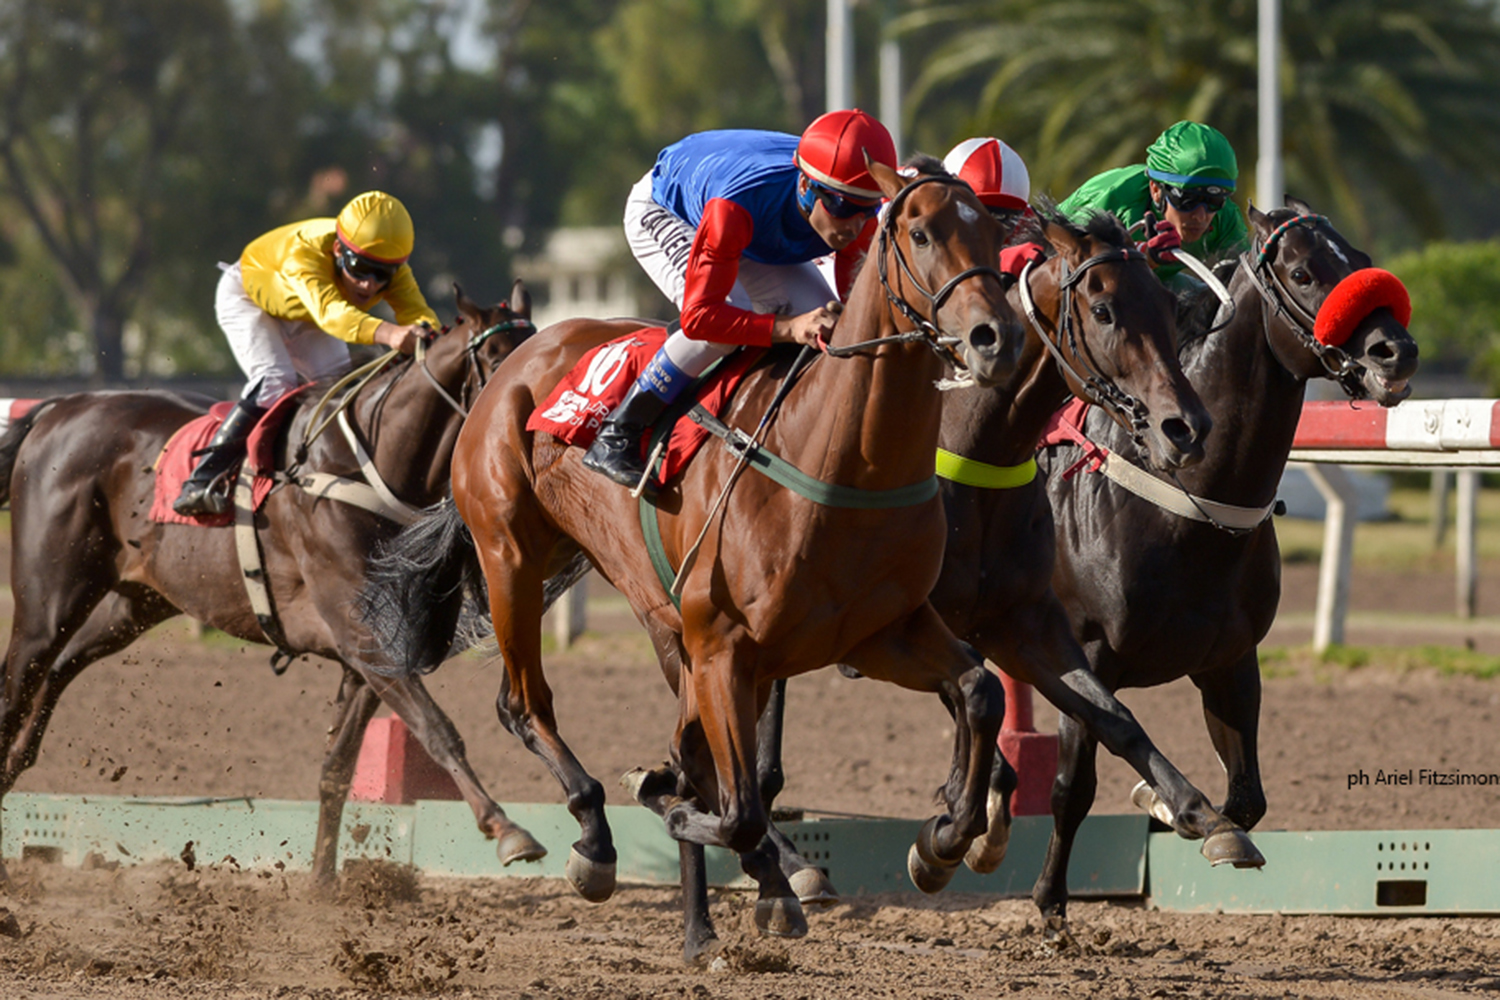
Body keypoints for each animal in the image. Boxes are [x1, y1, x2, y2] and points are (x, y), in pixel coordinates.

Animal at [0, 281, 542, 886]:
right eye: (495, 359)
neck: (370, 466)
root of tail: (56, 409)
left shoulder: (373, 652)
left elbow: (337, 768)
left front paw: (322, 883)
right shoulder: (364, 636)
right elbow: (436, 728)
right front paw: (508, 830)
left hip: (133, 604)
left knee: (55, 674)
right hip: (48, 599)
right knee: (18, 685)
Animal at [360, 158, 1026, 955]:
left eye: (996, 234)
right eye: (921, 232)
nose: (995, 338)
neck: (843, 461)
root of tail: (516, 363)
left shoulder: (877, 631)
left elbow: (979, 690)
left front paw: (943, 840)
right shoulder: (724, 648)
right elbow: (730, 805)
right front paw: (672, 804)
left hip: (641, 603)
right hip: (511, 556)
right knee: (524, 704)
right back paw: (597, 841)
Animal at [1031, 199, 1419, 936]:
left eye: (1359, 259)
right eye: (1303, 272)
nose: (1397, 350)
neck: (1186, 502)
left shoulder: (1229, 658)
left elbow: (1246, 800)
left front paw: (1178, 812)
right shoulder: (1085, 653)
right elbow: (1071, 787)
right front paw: (1049, 906)